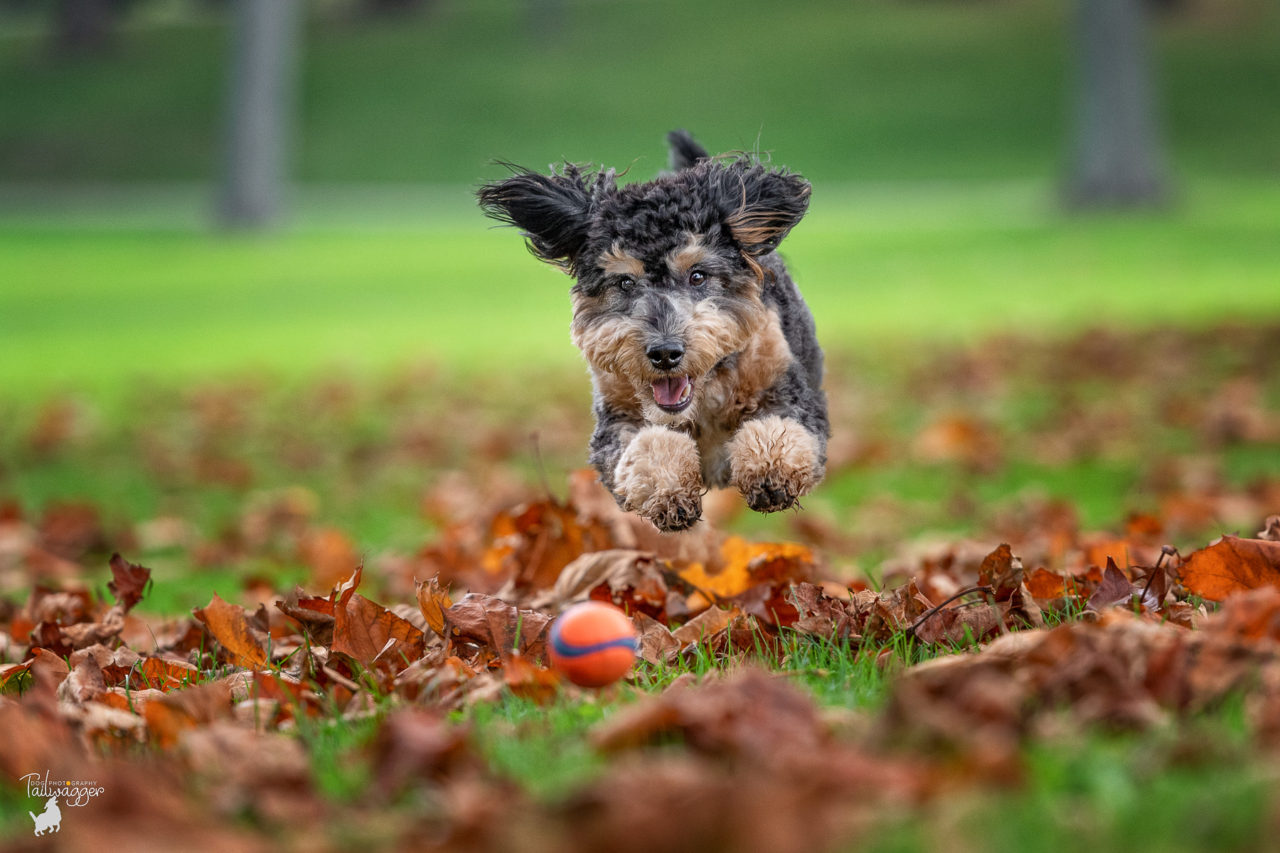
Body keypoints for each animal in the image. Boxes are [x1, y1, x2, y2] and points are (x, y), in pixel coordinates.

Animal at [481, 129, 829, 527]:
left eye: (698, 275)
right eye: (625, 282)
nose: (665, 353)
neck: (702, 401)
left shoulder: (786, 388)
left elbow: (779, 427)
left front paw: (771, 472)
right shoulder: (616, 421)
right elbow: (647, 447)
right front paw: (669, 493)